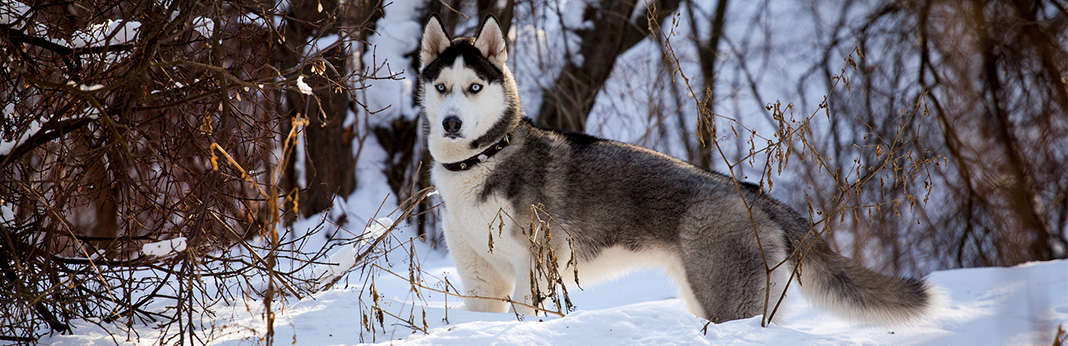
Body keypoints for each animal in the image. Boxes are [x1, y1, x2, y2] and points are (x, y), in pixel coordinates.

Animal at [416, 14, 935, 324]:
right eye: (442, 86)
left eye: (475, 87)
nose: (451, 122)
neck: (484, 159)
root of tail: (754, 194)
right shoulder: (480, 279)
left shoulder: (534, 271)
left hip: (724, 299)